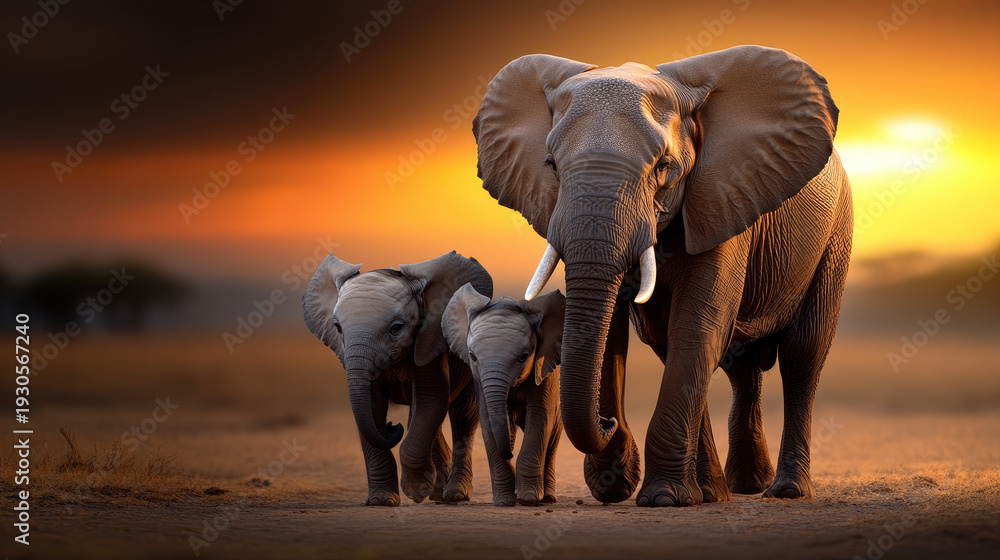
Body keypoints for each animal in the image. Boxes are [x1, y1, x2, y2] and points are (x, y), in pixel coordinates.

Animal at [302, 250, 493, 506]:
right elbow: (372, 407)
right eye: (337, 327)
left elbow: (432, 398)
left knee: (463, 416)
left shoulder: (430, 341)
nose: (392, 426)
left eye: (396, 328)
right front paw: (381, 500)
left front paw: (417, 491)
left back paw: (454, 495)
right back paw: (437, 492)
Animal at [443, 285, 565, 506]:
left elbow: (540, 417)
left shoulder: (544, 370)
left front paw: (529, 499)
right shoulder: (479, 379)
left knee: (552, 442)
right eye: (472, 356)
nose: (510, 453)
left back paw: (548, 498)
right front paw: (504, 502)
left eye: (524, 357)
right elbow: (488, 422)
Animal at [473, 45, 852, 506]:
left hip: (834, 237)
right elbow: (620, 334)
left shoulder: (720, 196)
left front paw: (662, 498)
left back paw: (784, 491)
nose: (609, 425)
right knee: (731, 364)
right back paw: (727, 490)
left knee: (802, 355)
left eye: (663, 167)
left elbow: (697, 328)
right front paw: (616, 483)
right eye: (551, 165)